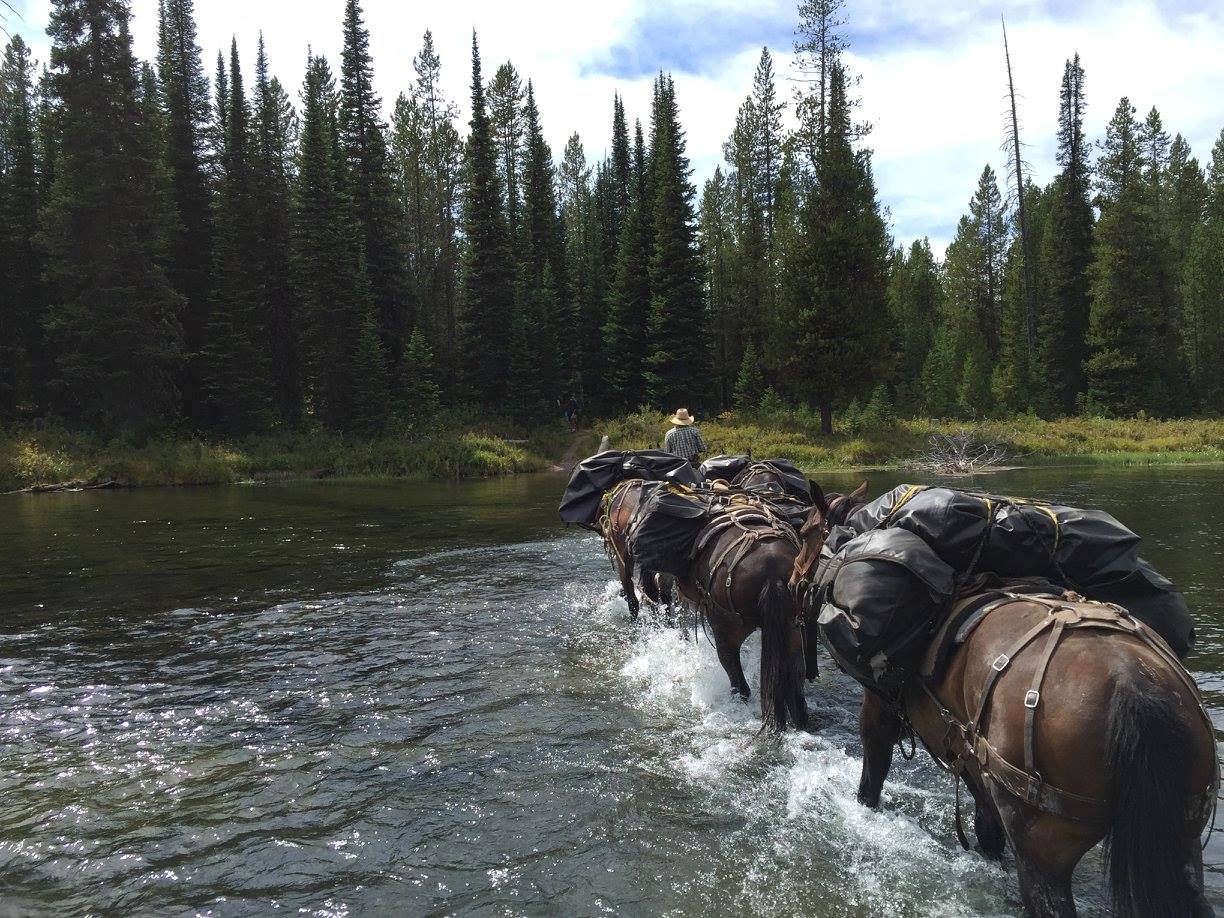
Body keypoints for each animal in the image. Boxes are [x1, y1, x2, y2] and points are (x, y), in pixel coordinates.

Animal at [793, 484, 1214, 915]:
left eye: (808, 531)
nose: (794, 577)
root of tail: (1132, 686)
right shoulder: (972, 761)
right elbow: (987, 829)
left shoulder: (881, 710)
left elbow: (871, 780)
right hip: (1182, 841)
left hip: (1042, 848)